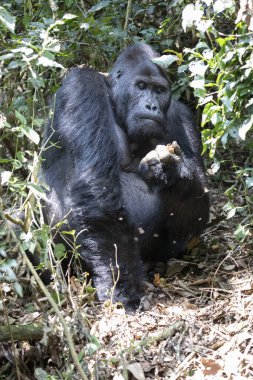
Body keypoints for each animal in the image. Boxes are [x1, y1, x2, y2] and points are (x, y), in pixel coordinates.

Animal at [42, 43, 210, 308]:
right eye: (140, 86)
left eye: (159, 90)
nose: (151, 106)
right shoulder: (82, 85)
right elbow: (96, 185)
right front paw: (121, 286)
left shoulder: (181, 114)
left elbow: (200, 200)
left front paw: (170, 171)